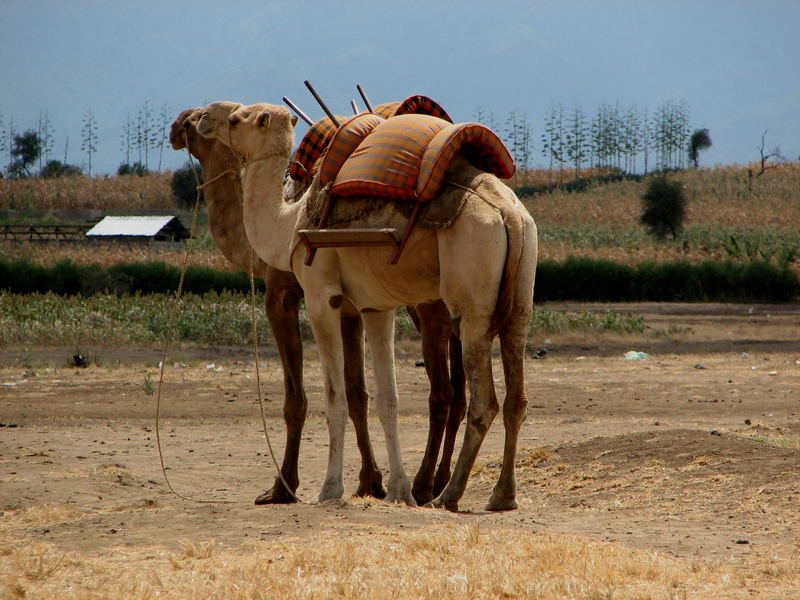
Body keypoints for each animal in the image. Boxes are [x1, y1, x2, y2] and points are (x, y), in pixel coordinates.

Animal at [194, 102, 536, 510]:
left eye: (236, 118)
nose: (201, 119)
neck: (290, 221)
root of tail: (509, 215)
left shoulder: (320, 297)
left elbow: (335, 396)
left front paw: (330, 489)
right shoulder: (376, 308)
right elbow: (387, 399)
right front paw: (398, 490)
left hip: (472, 301)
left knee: (483, 400)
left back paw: (448, 495)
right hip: (521, 295)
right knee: (516, 395)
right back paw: (502, 495)